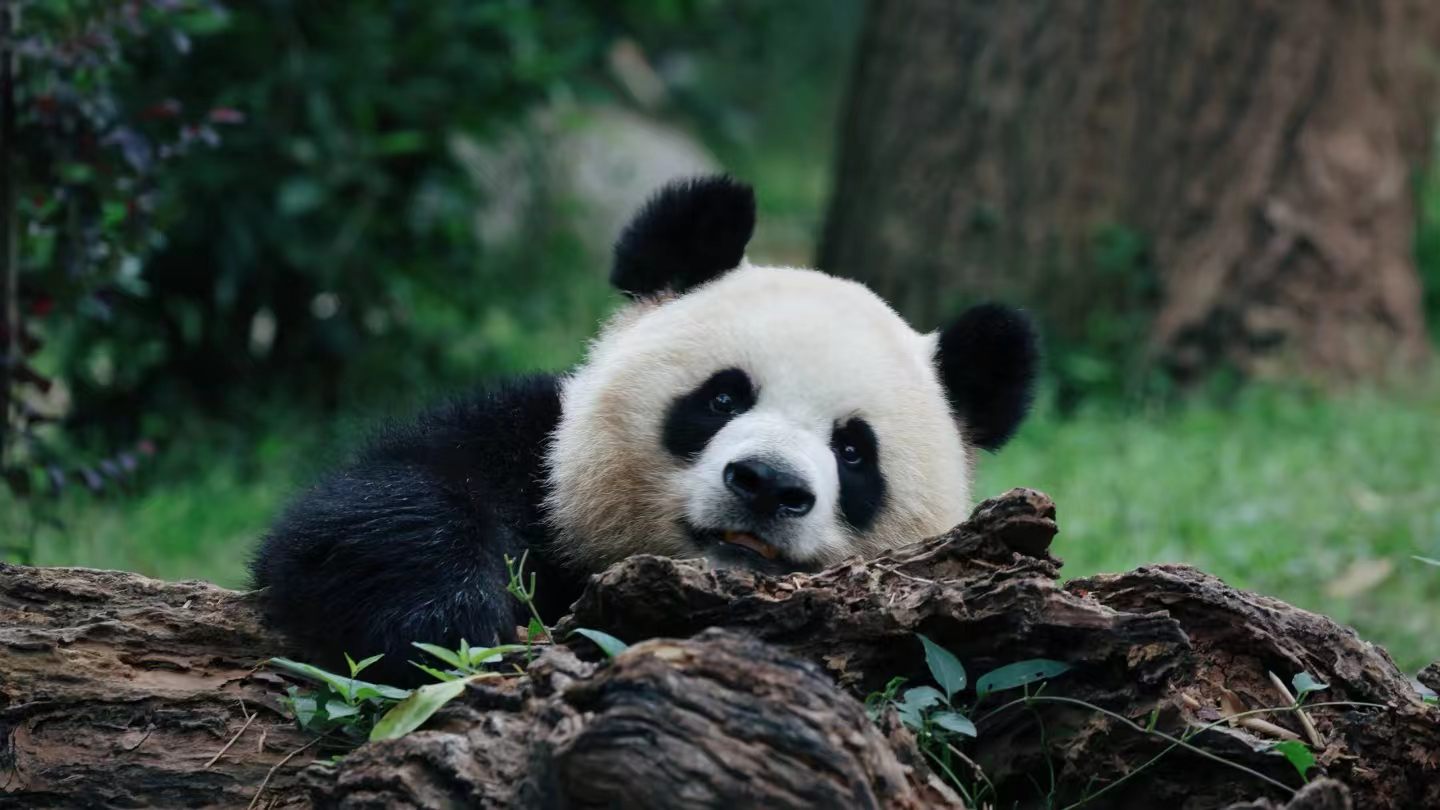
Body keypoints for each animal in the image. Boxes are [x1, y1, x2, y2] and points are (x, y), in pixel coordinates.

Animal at [252, 175, 1038, 685]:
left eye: (852, 450)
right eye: (721, 398)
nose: (767, 484)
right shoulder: (534, 451)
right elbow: (371, 508)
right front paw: (450, 626)